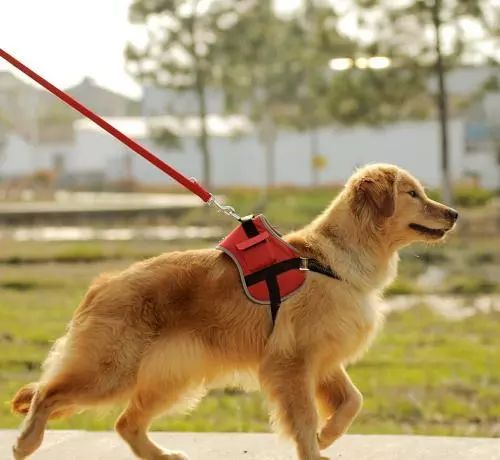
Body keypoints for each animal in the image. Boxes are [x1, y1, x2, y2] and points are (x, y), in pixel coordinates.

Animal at [10, 164, 458, 458]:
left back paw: (162, 456)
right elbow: (305, 420)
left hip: (171, 376)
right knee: (47, 393)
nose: (454, 213)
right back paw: (26, 442)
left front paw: (329, 436)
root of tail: (103, 283)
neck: (330, 260)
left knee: (125, 422)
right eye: (413, 194)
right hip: (110, 370)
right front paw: (316, 446)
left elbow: (353, 401)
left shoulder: (323, 360)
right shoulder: (292, 363)